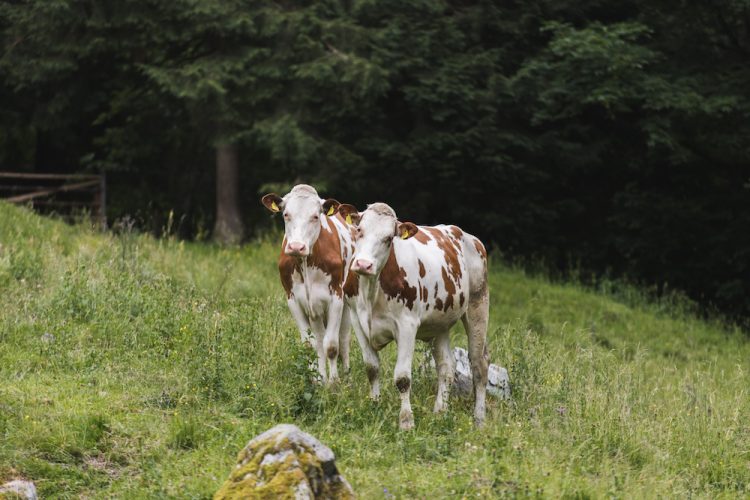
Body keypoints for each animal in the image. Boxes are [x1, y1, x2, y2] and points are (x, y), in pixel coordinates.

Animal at [262, 186, 356, 384]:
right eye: (286, 214)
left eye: (315, 216)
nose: (297, 246)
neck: (306, 262)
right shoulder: (293, 300)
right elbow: (309, 345)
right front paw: (318, 381)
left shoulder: (336, 298)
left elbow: (332, 345)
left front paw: (334, 383)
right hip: (315, 311)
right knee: (319, 338)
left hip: (347, 304)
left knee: (343, 339)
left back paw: (346, 377)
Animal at [340, 202, 494, 430]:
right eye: (359, 230)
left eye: (389, 238)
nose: (363, 264)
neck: (371, 290)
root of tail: (468, 236)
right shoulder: (357, 320)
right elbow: (372, 368)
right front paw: (374, 405)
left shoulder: (407, 325)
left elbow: (402, 378)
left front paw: (406, 421)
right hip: (441, 324)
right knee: (447, 367)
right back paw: (440, 412)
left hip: (478, 303)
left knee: (479, 364)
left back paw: (479, 419)